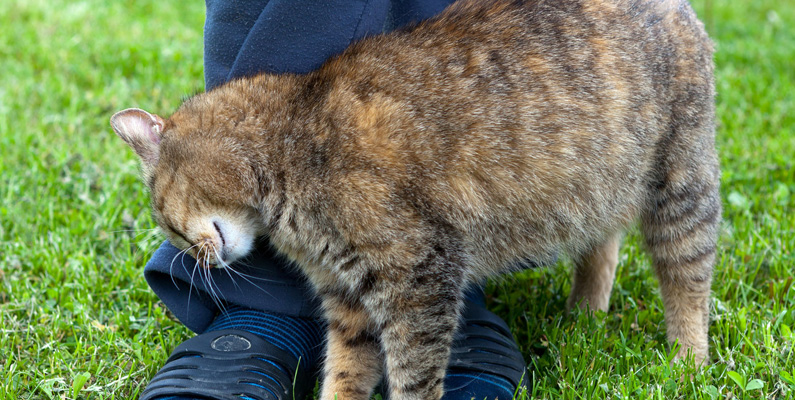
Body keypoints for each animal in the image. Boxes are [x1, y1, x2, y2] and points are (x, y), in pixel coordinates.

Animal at [110, 0, 720, 396]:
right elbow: (345, 374)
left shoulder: (418, 279)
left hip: (681, 183)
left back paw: (687, 363)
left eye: (167, 224)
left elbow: (412, 376)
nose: (196, 261)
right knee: (604, 239)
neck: (289, 138)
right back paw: (584, 316)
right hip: (600, 184)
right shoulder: (347, 299)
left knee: (687, 278)